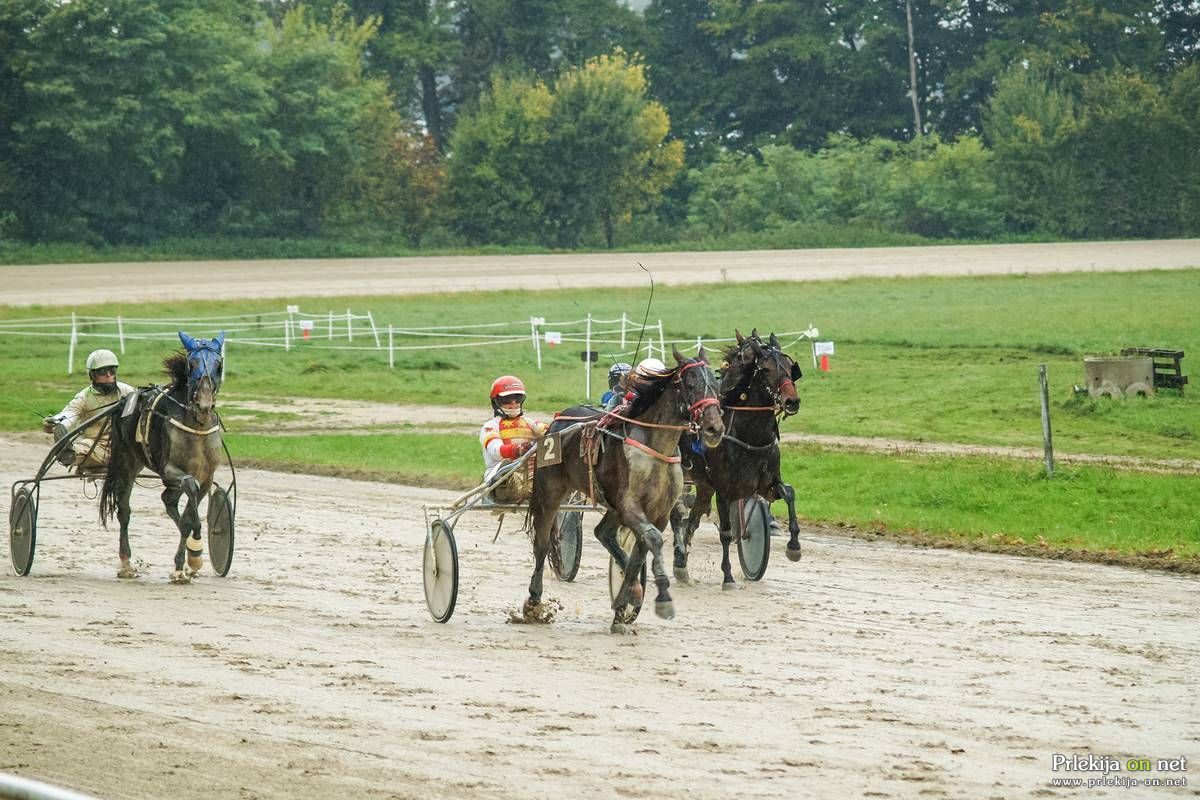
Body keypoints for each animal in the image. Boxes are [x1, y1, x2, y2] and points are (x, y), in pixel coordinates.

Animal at [99, 331, 225, 582]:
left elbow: (188, 517)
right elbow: (191, 491)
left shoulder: (207, 476)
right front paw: (191, 556)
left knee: (168, 500)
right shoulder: (170, 470)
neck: (197, 425)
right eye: (191, 364)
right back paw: (126, 563)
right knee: (124, 511)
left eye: (218, 365)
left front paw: (188, 562)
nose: (204, 405)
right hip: (127, 461)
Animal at [525, 345, 720, 633]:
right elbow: (653, 540)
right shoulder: (630, 506)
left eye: (715, 384)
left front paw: (624, 603)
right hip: (550, 493)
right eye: (691, 383)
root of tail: (558, 421)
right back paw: (534, 600)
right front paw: (662, 598)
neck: (656, 448)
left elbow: (640, 553)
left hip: (612, 506)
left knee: (603, 532)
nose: (714, 427)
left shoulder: (657, 513)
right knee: (542, 543)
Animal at [672, 331, 801, 587]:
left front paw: (794, 546)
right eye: (766, 369)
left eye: (790, 367)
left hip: (704, 487)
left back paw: (682, 564)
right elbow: (726, 532)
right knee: (676, 515)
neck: (751, 436)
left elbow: (789, 494)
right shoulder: (724, 490)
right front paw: (728, 576)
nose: (792, 401)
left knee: (692, 520)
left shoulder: (766, 485)